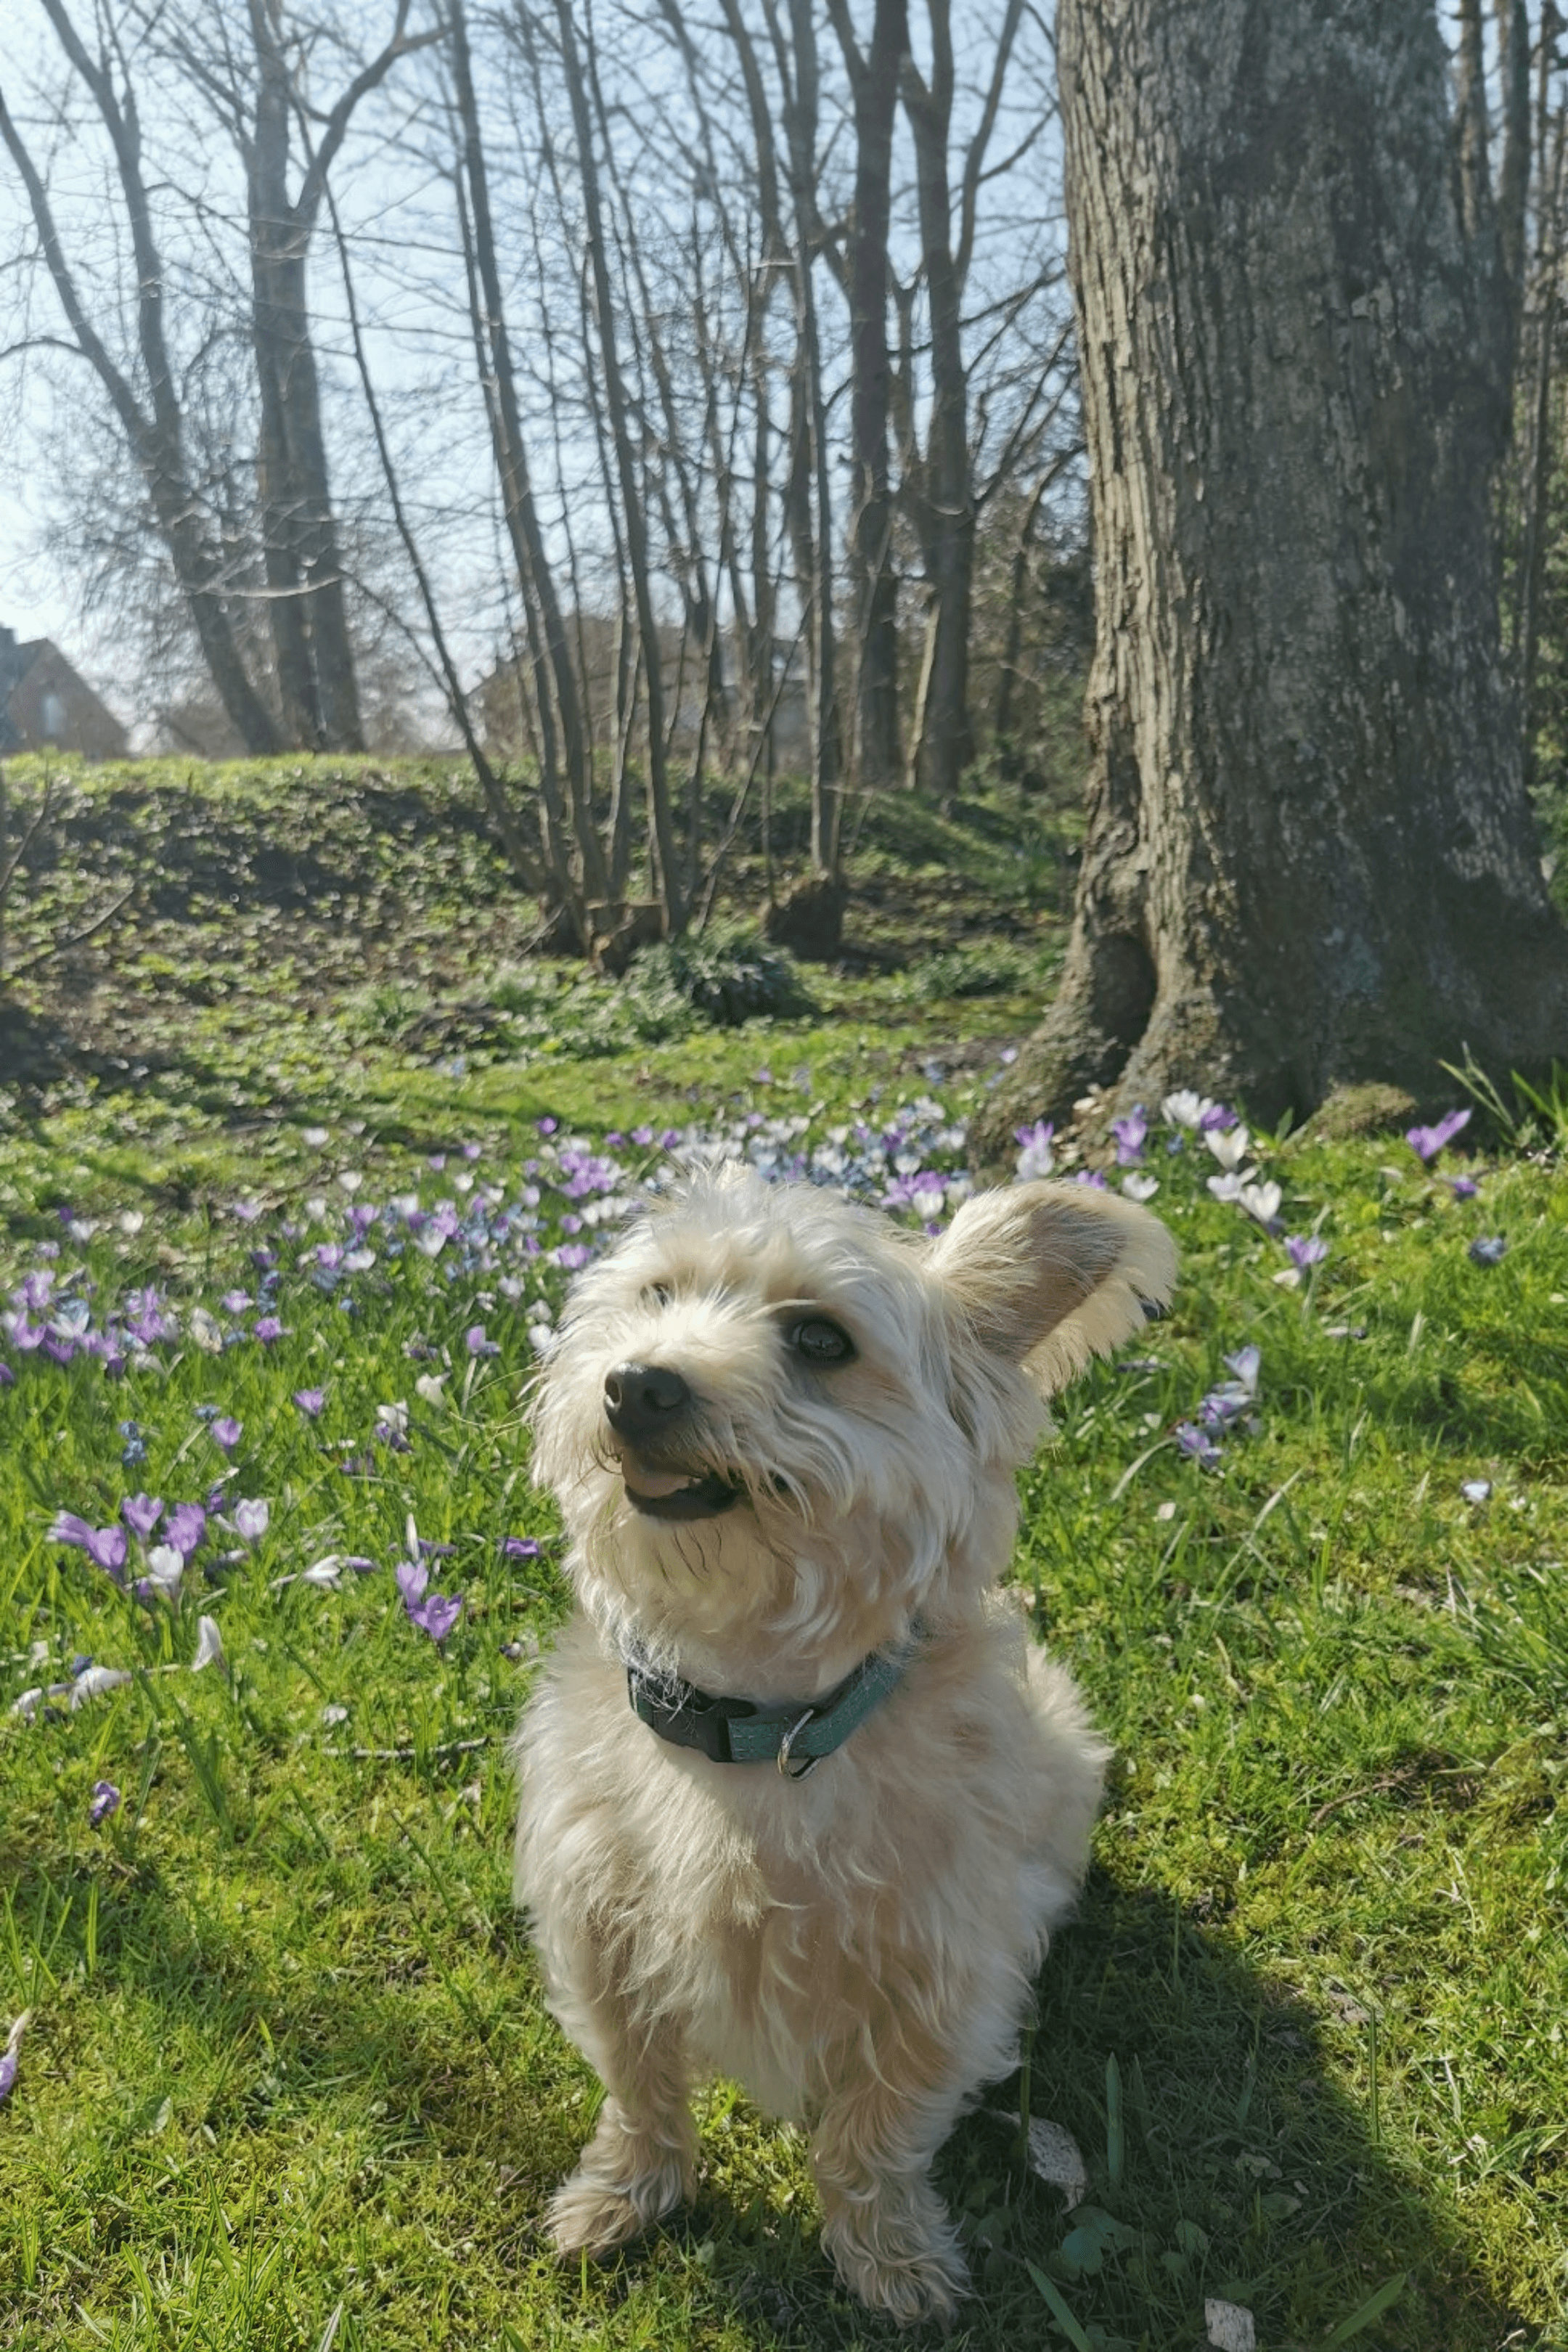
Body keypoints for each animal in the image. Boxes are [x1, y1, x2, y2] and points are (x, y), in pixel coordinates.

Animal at [515, 1157, 1175, 2314]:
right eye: (656, 1295)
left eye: (822, 1340)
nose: (637, 1384)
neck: (757, 1722)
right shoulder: (599, 1935)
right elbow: (638, 2085)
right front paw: (624, 2194)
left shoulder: (941, 1985)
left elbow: (875, 2134)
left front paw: (891, 2256)